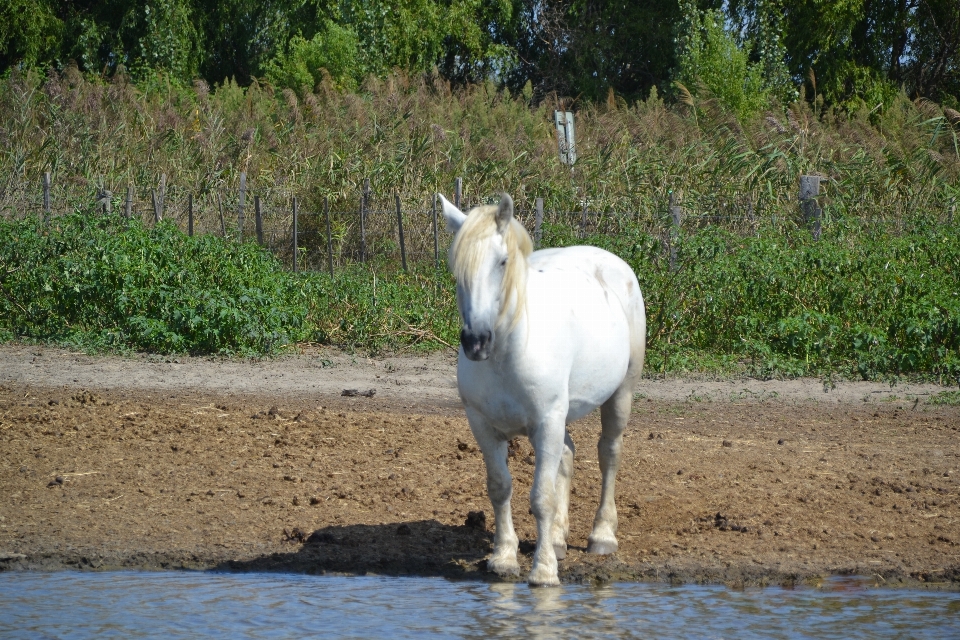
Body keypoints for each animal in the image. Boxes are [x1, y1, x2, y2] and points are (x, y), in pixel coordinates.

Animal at [438, 190, 640, 584]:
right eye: (457, 268)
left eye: (502, 262)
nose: (476, 342)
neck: (506, 356)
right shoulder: (483, 425)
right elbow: (500, 487)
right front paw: (504, 558)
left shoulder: (546, 421)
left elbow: (540, 497)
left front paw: (544, 571)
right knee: (568, 454)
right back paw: (559, 539)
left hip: (620, 393)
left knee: (609, 453)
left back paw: (602, 536)